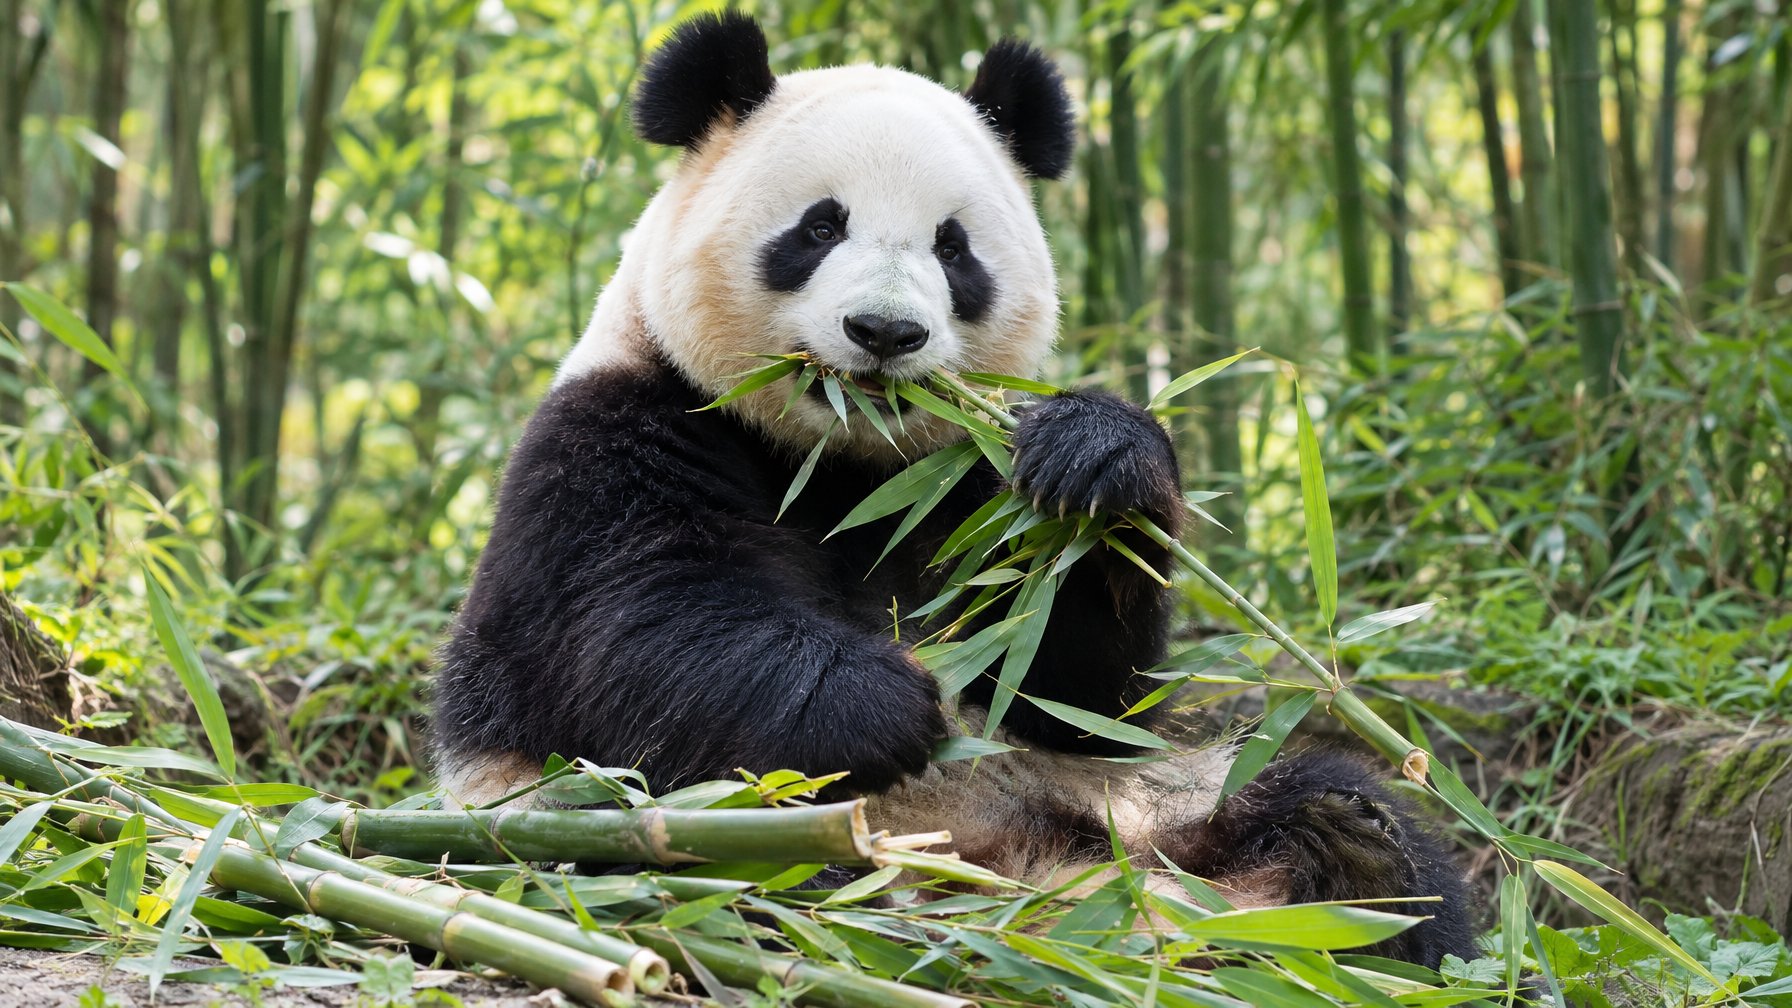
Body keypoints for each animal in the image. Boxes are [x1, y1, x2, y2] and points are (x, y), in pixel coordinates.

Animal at [431, 11, 1476, 968]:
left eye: (953, 248)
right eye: (820, 226)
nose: (885, 332)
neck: (839, 460)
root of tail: (1038, 885)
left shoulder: (966, 482)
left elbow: (1074, 683)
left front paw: (1097, 462)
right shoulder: (617, 435)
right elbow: (635, 638)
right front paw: (888, 702)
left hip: (1152, 796)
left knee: (1337, 802)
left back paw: (1356, 863)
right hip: (647, 837)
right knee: (731, 867)